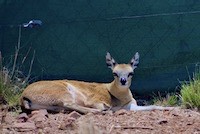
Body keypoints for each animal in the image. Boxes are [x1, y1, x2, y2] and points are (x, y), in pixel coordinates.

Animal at [20, 51, 173, 113]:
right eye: (114, 73)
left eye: (131, 72)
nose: (123, 81)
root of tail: (24, 95)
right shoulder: (94, 101)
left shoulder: (131, 106)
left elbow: (153, 106)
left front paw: (172, 108)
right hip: (63, 93)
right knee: (73, 105)